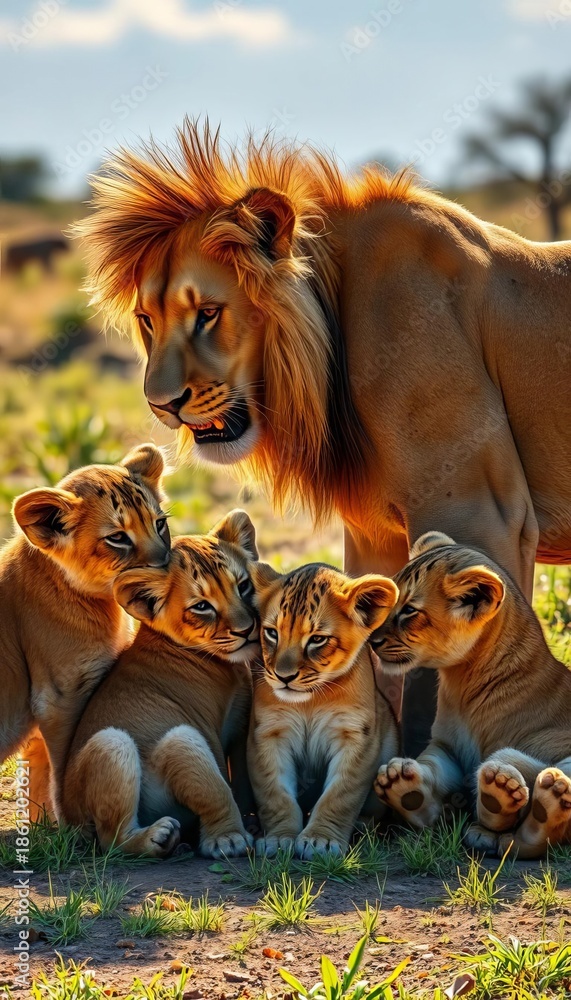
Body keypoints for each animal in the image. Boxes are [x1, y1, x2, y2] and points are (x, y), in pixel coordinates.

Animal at [1, 444, 169, 820]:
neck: (104, 605)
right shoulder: (59, 696)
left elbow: (38, 771)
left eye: (160, 524)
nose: (167, 566)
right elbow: (63, 765)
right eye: (118, 538)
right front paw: (71, 825)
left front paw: (43, 826)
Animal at [61, 512, 259, 858]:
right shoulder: (198, 730)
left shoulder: (238, 725)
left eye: (244, 586)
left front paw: (251, 822)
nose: (247, 630)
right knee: (111, 839)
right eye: (202, 606)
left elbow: (243, 778)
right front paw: (228, 839)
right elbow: (219, 786)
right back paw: (160, 836)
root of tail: (69, 821)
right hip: (115, 742)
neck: (227, 667)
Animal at [75, 120, 571, 752]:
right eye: (147, 320)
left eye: (208, 313)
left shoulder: (482, 512)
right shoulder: (375, 534)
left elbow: (434, 676)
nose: (161, 405)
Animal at [247, 561, 399, 858]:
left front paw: (321, 841)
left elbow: (340, 794)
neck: (310, 701)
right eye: (272, 633)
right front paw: (279, 839)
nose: (283, 677)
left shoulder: (356, 736)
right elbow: (275, 794)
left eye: (317, 639)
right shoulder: (268, 734)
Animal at [372, 531, 571, 859]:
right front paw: (400, 780)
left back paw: (514, 795)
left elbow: (510, 756)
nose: (372, 641)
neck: (461, 685)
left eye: (410, 610)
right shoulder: (447, 748)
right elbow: (431, 764)